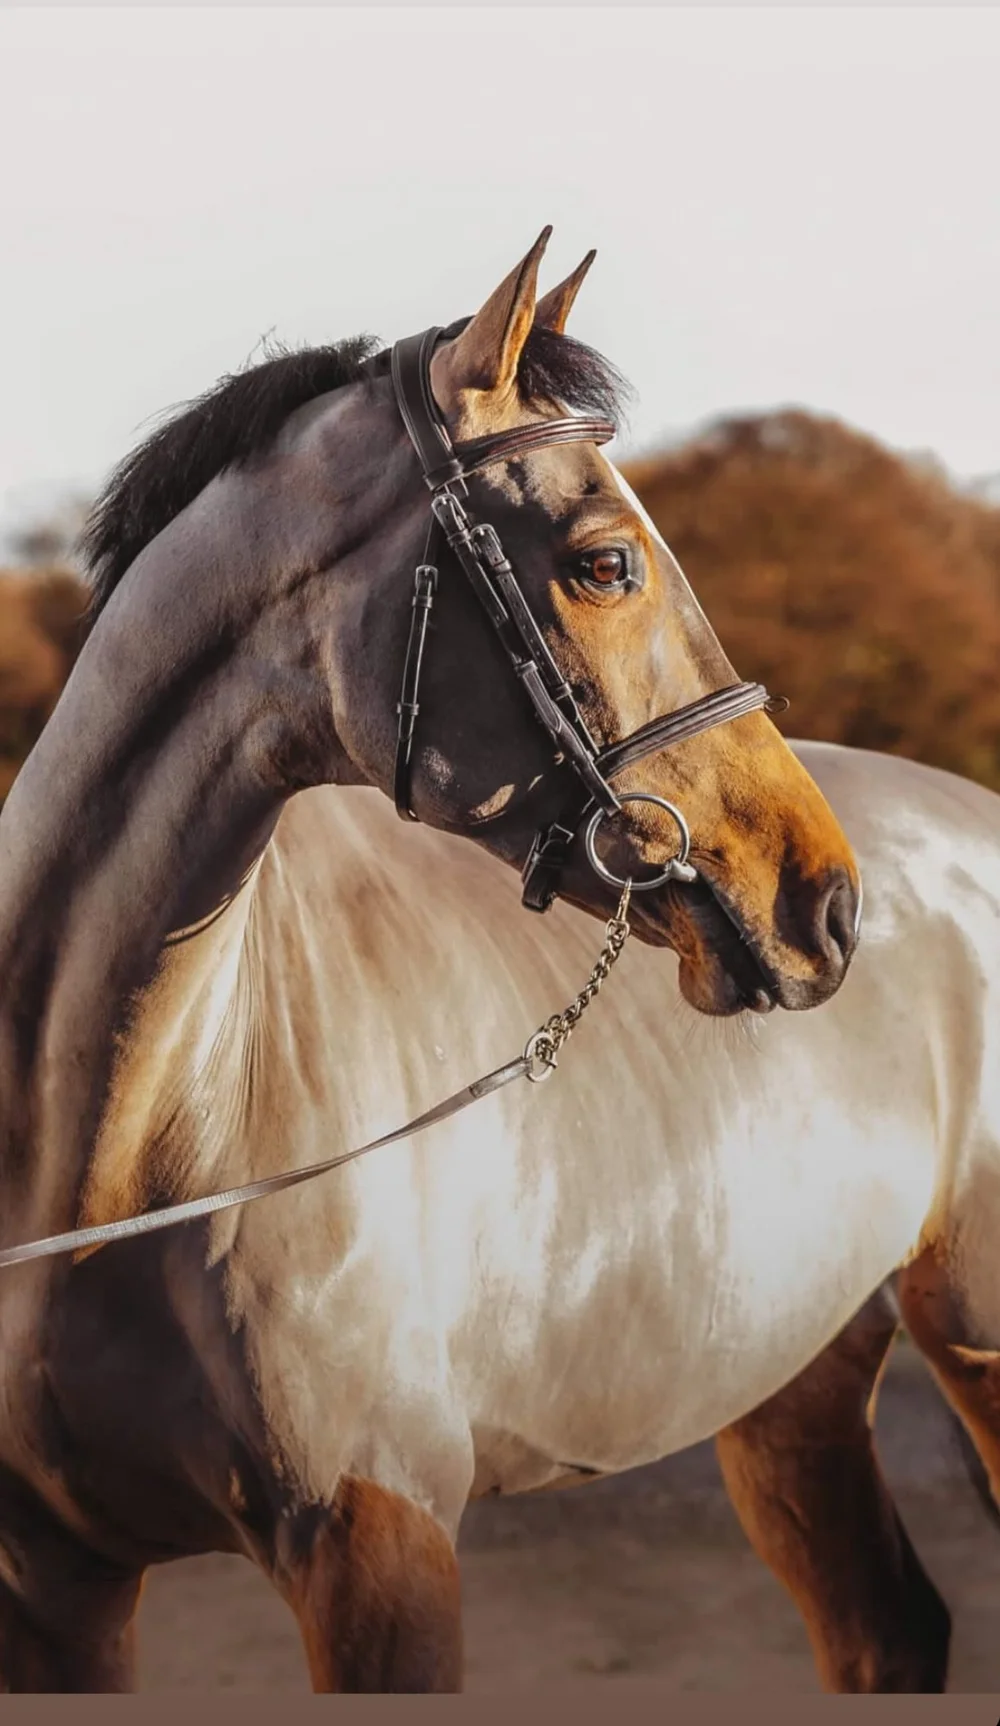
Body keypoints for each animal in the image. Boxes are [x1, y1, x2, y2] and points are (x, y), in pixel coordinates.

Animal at [2, 225, 971, 1694]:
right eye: (604, 563)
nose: (824, 904)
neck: (120, 1157)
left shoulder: (383, 1550)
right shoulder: (55, 1585)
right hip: (791, 1386)